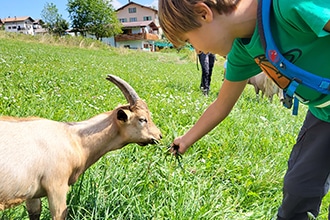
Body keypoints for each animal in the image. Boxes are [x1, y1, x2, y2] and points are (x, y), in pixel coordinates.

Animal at [0, 74, 162, 220]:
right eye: (142, 119)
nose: (159, 135)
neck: (73, 138)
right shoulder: (57, 186)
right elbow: (59, 214)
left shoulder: (32, 193)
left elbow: (34, 212)